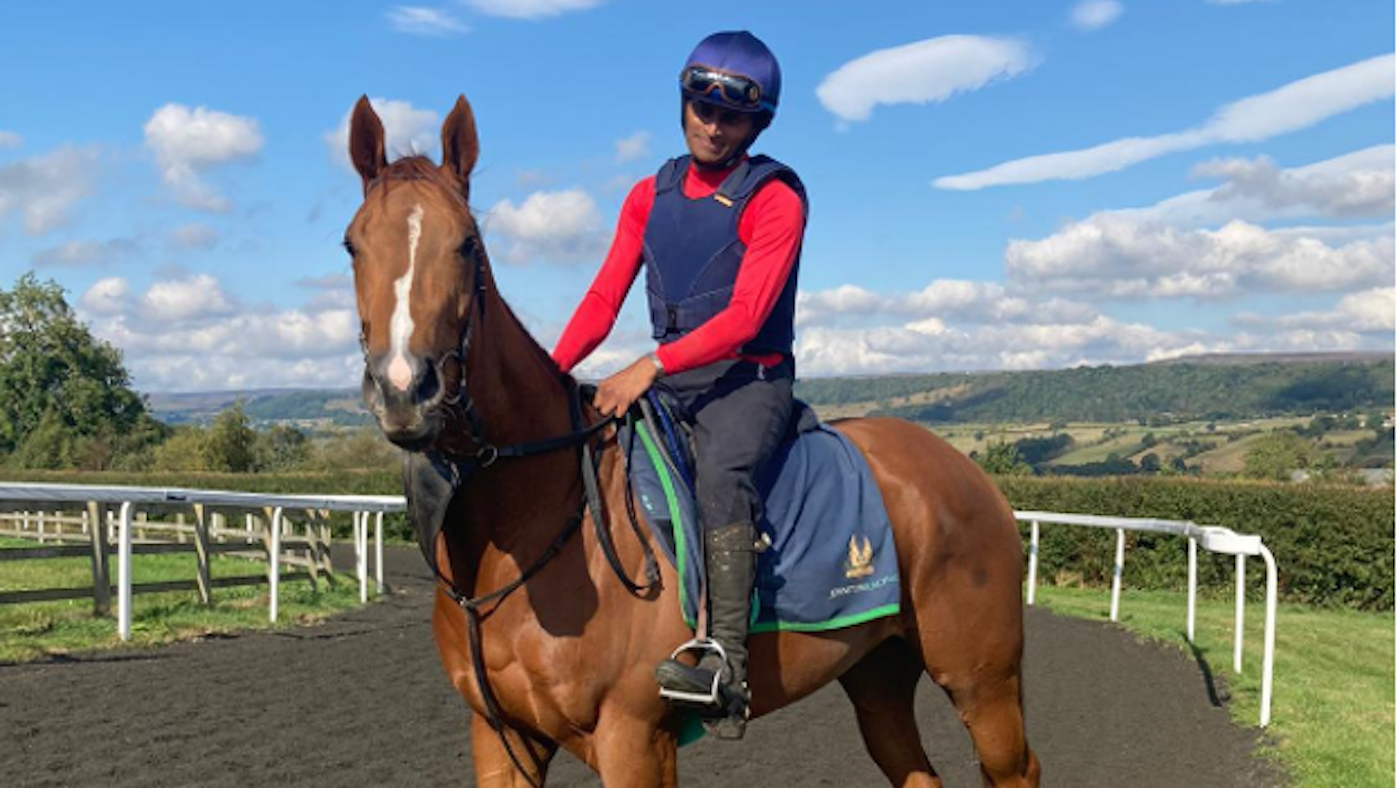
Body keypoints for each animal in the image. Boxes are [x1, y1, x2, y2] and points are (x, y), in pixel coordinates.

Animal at [345, 94, 1040, 788]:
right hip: (877, 674)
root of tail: (969, 473)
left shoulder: (634, 739)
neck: (534, 528)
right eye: (353, 244)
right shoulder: (500, 736)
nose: (405, 387)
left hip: (981, 681)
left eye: (468, 243)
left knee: (1017, 765)